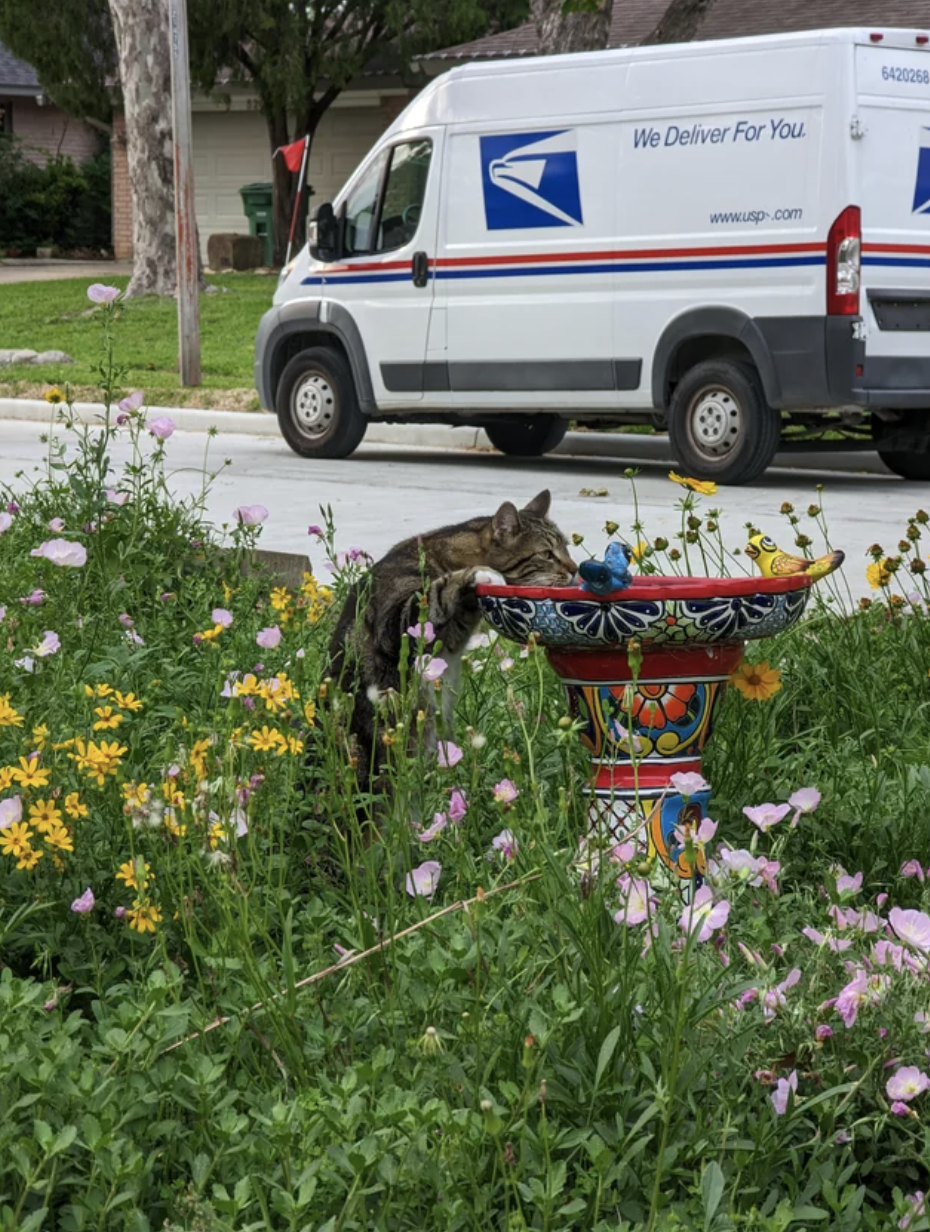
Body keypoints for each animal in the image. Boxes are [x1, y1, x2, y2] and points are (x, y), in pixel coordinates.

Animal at [327, 485, 574, 783]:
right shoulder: (396, 622)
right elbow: (439, 589)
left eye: (566, 548)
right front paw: (479, 574)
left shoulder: (451, 635)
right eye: (547, 554)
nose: (575, 569)